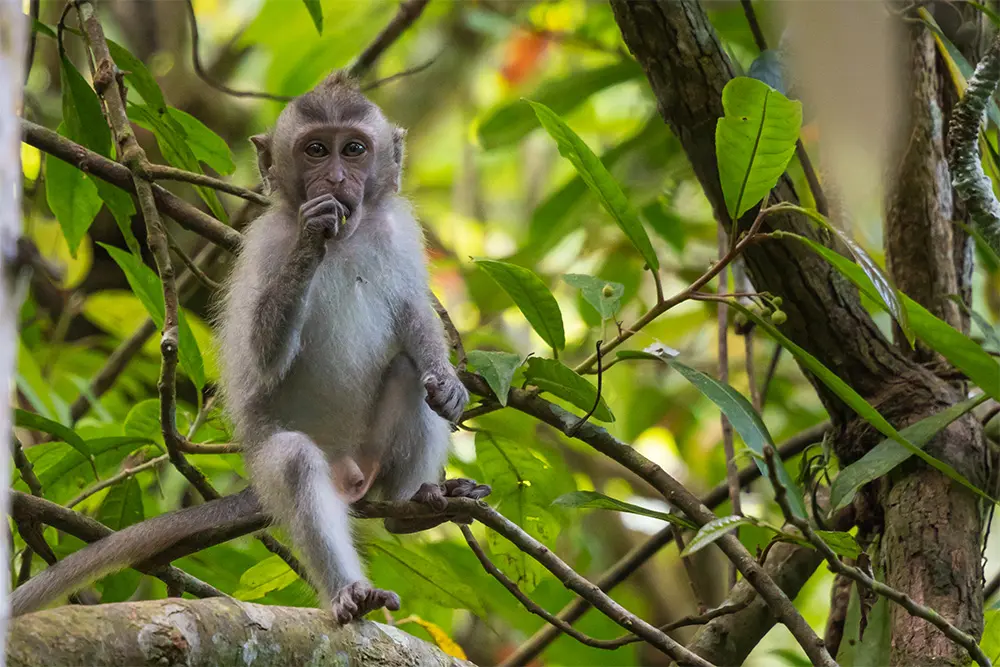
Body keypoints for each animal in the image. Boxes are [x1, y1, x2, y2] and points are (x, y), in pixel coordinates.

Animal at [9, 72, 490, 622]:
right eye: (316, 150)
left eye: (354, 149)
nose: (335, 180)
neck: (347, 240)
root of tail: (350, 476)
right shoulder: (265, 246)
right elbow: (260, 357)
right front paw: (312, 236)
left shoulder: (396, 230)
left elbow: (413, 315)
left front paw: (449, 383)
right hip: (272, 463)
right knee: (294, 464)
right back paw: (350, 588)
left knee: (410, 374)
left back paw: (411, 507)